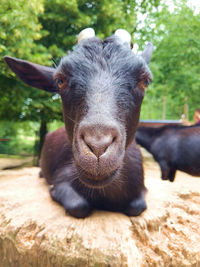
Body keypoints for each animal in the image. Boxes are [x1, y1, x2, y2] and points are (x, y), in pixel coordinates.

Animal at [4, 28, 153, 218]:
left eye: (145, 81)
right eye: (60, 80)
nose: (98, 146)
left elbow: (137, 207)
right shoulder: (61, 180)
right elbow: (78, 206)